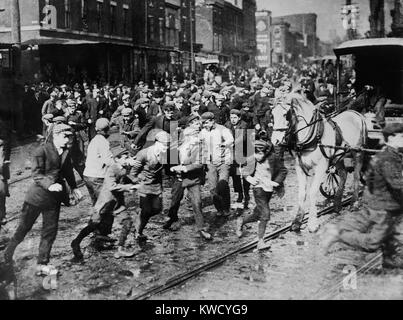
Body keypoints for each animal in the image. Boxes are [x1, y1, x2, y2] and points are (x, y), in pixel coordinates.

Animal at [274, 92, 368, 232]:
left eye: (285, 115)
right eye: (272, 114)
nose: (274, 140)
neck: (312, 136)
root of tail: (356, 113)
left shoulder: (321, 166)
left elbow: (312, 192)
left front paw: (312, 223)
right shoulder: (299, 167)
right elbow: (302, 193)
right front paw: (297, 221)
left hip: (358, 153)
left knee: (356, 176)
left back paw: (354, 203)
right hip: (337, 157)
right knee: (343, 174)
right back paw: (337, 204)